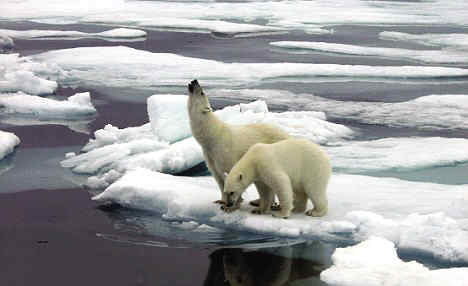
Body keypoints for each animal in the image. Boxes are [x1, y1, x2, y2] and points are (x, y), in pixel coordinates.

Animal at [186, 79, 288, 209]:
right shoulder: (210, 155)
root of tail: (287, 134)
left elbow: (234, 174)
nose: (194, 81)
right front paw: (221, 200)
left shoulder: (226, 151)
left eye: (202, 92)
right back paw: (258, 201)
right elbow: (218, 177)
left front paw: (233, 204)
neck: (213, 135)